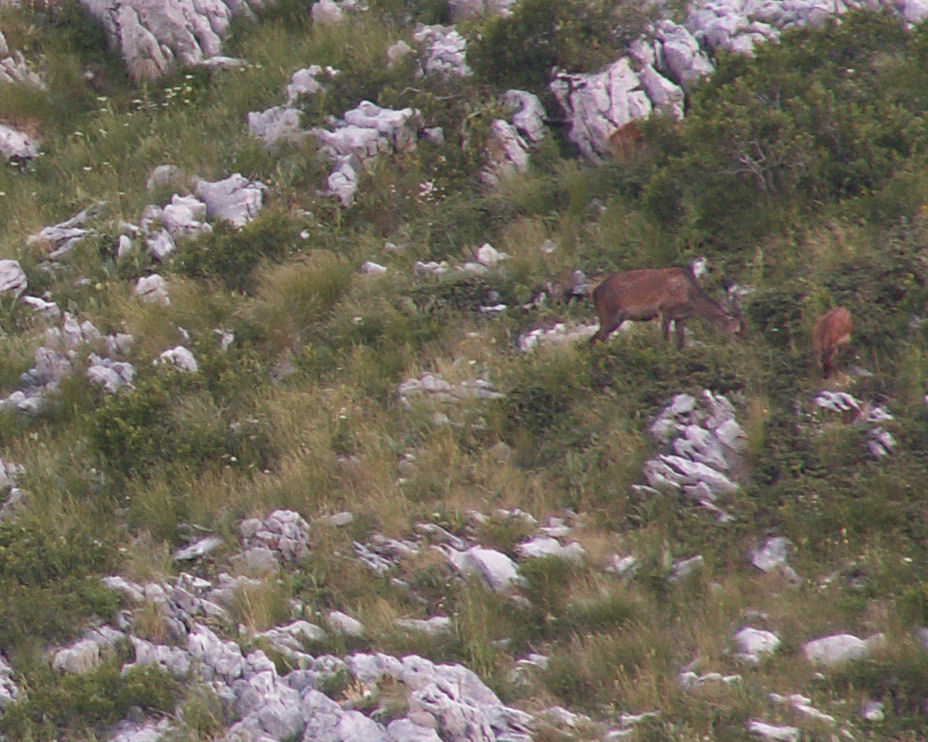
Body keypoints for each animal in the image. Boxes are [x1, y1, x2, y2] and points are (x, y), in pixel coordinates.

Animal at [588, 268, 748, 348]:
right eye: (736, 331)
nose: (741, 347)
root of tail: (595, 292)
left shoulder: (680, 317)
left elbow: (680, 341)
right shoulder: (664, 311)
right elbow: (665, 338)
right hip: (610, 317)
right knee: (594, 339)